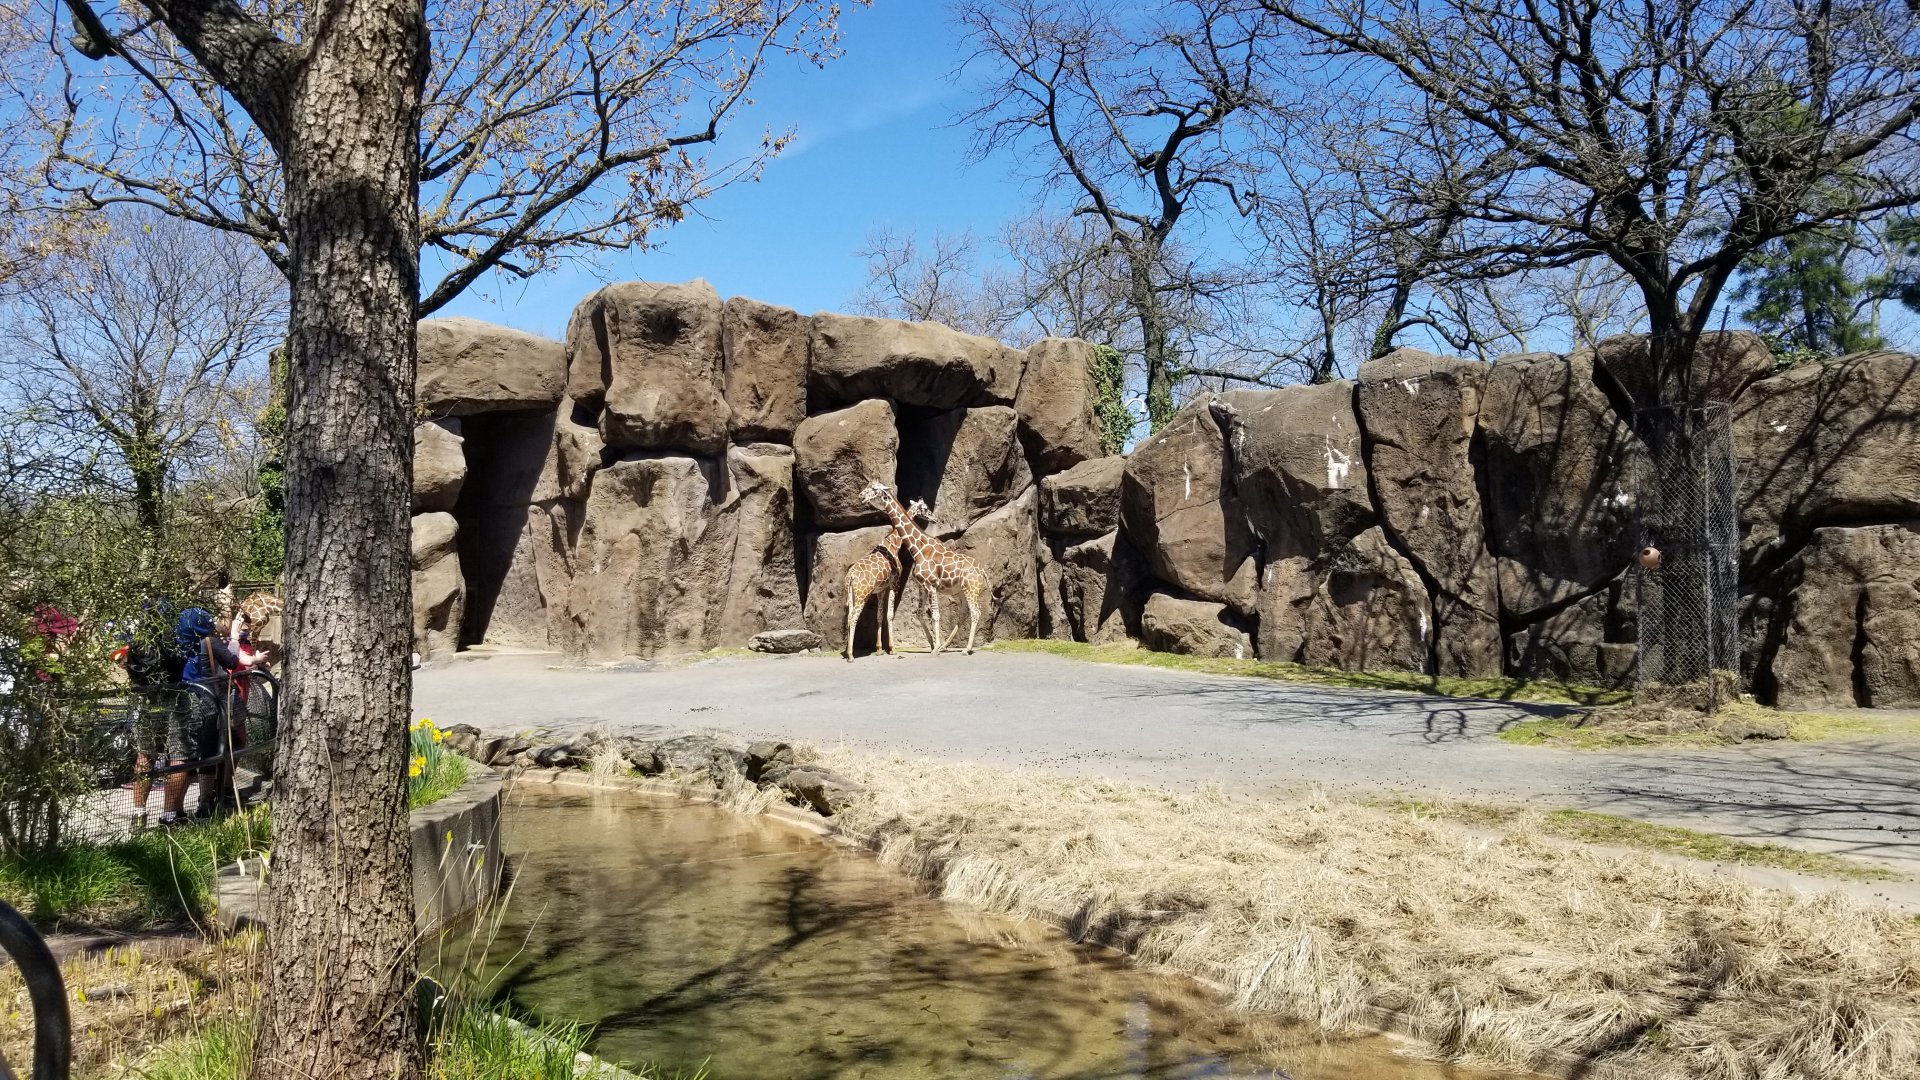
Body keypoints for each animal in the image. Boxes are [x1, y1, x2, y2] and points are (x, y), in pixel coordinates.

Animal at [858, 481, 988, 655]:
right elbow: (920, 613)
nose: (861, 496)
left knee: (976, 611)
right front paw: (934, 645)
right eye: (868, 486)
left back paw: (966, 648)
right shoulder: (922, 586)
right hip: (960, 591)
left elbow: (936, 615)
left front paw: (936, 647)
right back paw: (947, 645)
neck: (918, 548)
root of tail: (982, 571)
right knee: (965, 612)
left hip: (971, 588)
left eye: (874, 489)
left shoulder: (931, 584)